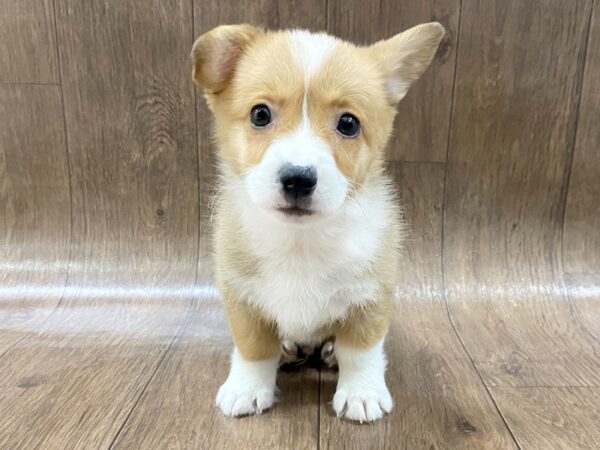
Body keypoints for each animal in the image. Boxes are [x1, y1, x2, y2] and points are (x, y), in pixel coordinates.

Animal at [192, 21, 446, 422]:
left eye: (348, 123)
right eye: (260, 114)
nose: (298, 179)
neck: (301, 240)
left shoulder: (371, 298)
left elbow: (361, 351)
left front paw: (361, 393)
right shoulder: (241, 297)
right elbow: (252, 348)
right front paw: (247, 388)